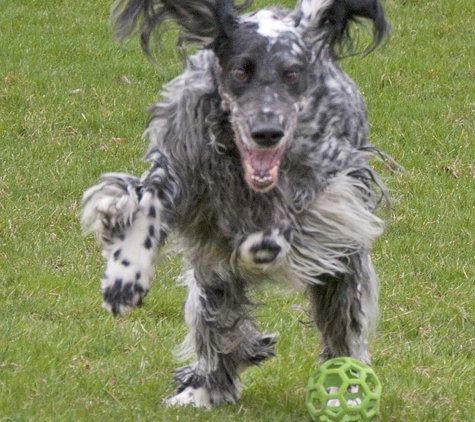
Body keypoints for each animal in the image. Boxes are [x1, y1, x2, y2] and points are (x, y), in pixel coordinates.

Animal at [82, 0, 390, 408]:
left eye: (291, 74)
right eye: (241, 71)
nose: (266, 132)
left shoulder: (333, 194)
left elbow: (295, 216)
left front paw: (266, 240)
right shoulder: (177, 163)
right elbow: (145, 202)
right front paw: (125, 277)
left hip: (341, 268)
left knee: (343, 327)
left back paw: (348, 390)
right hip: (212, 279)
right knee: (219, 324)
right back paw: (203, 388)